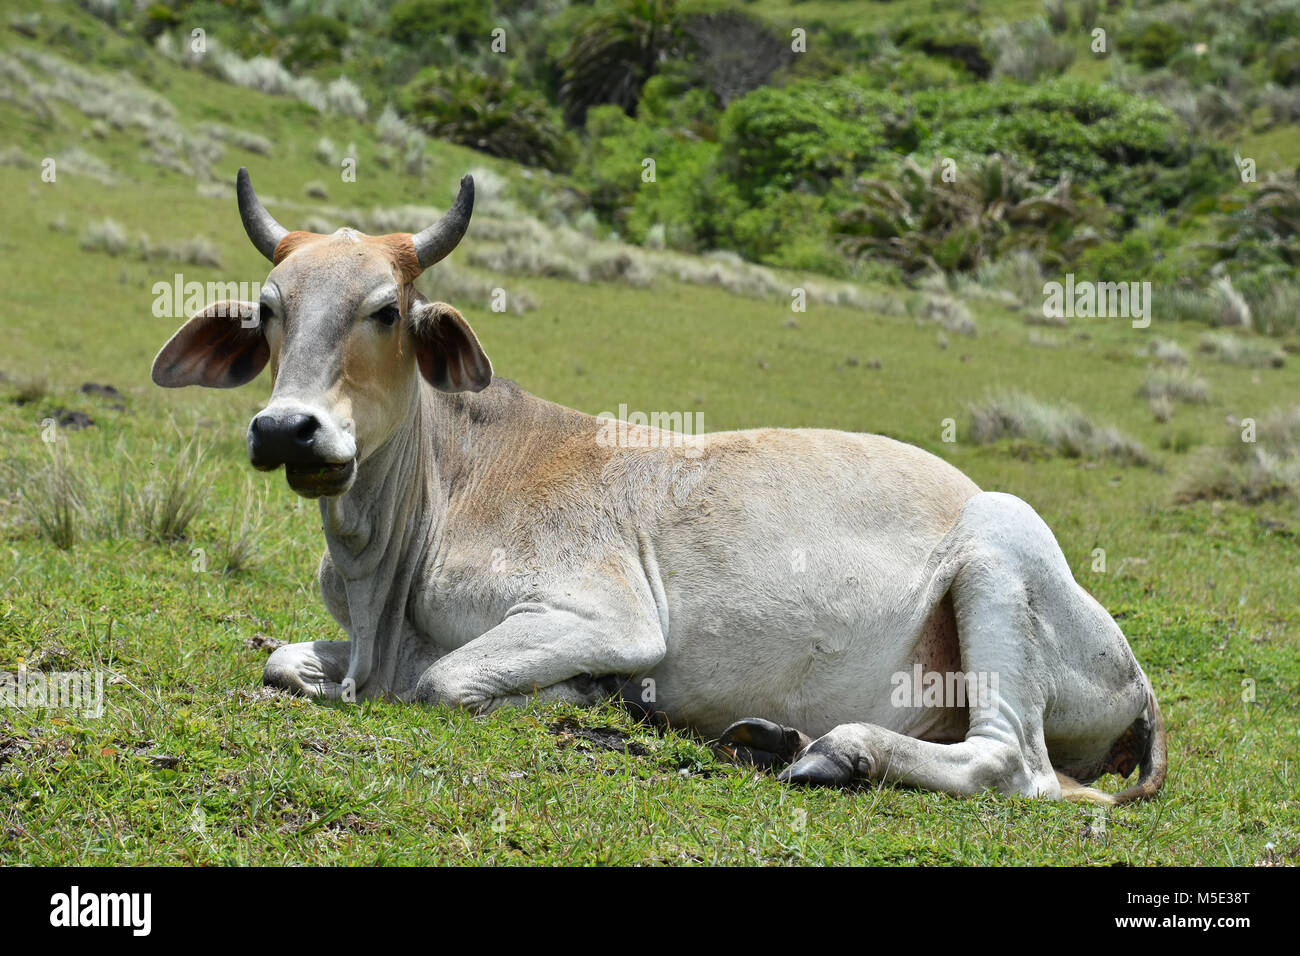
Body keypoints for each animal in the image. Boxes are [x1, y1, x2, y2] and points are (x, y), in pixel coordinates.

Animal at [152, 167, 1170, 806]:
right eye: (269, 310)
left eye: (386, 311)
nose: (288, 430)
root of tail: (1137, 676)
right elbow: (284, 661)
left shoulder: (603, 616)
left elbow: (446, 681)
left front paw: (595, 698)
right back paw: (771, 739)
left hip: (1000, 549)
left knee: (1012, 765)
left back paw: (836, 753)